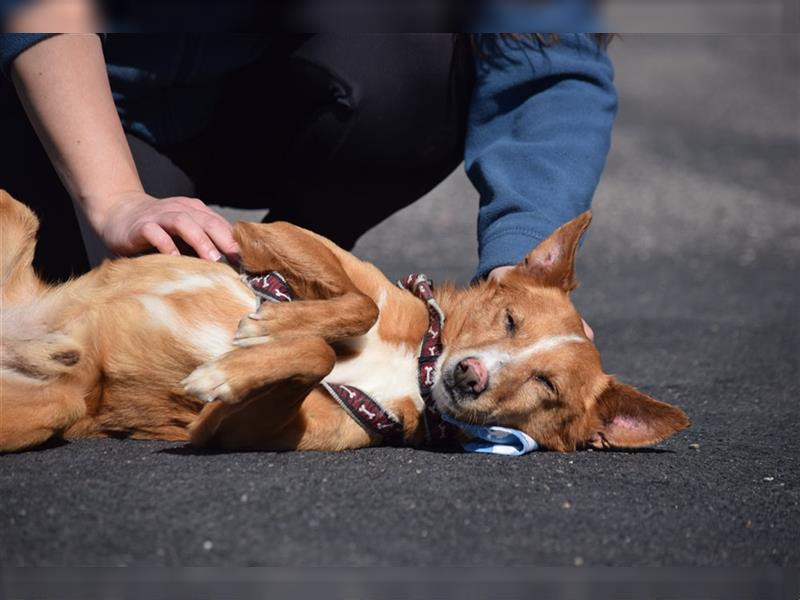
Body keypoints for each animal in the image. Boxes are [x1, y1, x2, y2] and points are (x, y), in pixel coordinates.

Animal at [0, 192, 688, 454]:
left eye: (547, 387)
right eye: (511, 320)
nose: (468, 375)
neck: (415, 366)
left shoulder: (222, 429)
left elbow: (318, 355)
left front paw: (243, 359)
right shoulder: (274, 233)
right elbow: (359, 305)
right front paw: (273, 323)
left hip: (54, 407)